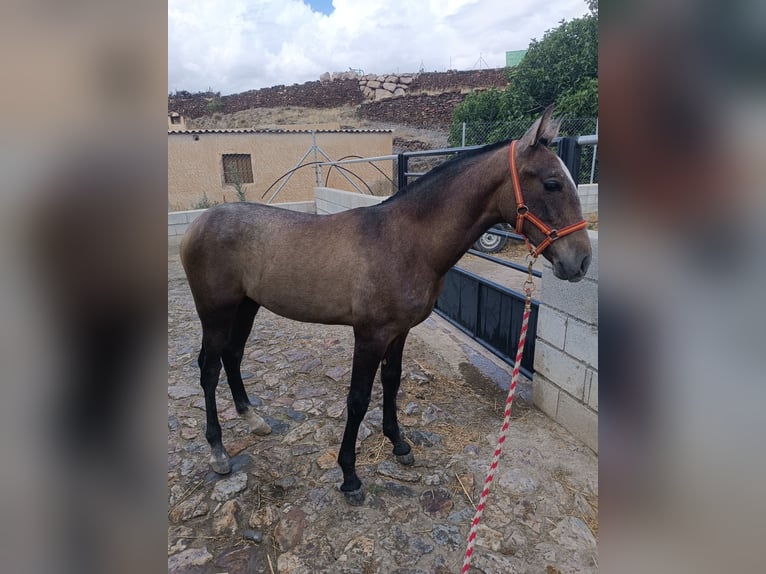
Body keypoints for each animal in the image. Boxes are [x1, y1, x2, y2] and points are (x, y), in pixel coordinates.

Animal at [180, 106, 592, 506]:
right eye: (552, 183)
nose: (581, 261)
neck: (405, 240)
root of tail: (198, 224)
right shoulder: (370, 335)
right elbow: (358, 399)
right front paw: (349, 476)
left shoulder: (399, 331)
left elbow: (392, 383)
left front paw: (399, 444)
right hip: (215, 312)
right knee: (209, 368)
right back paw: (218, 451)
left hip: (246, 306)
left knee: (233, 356)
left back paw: (253, 419)